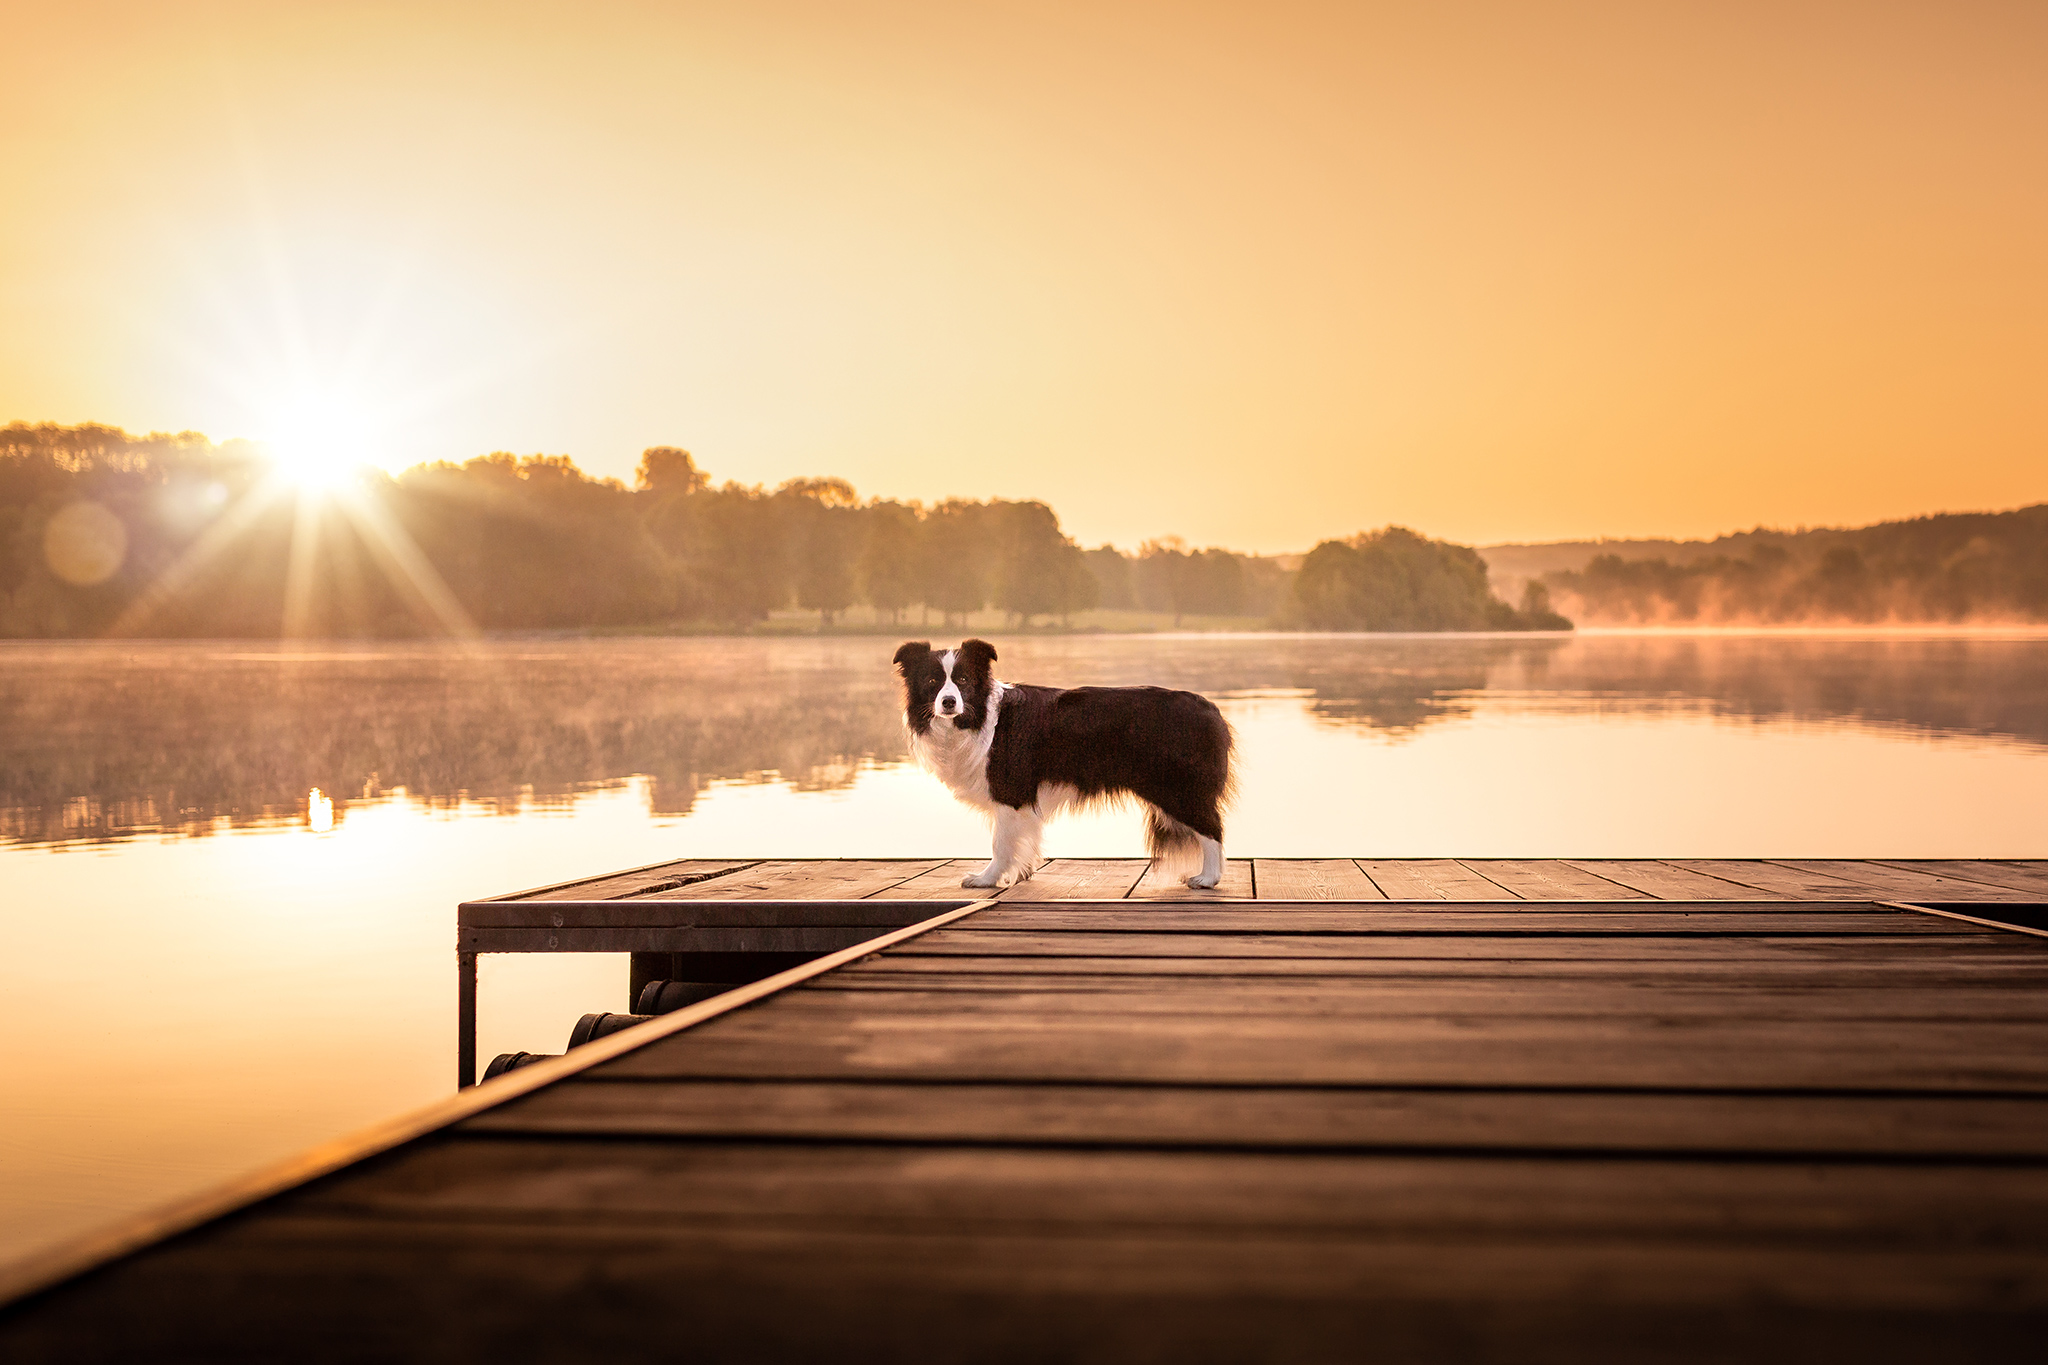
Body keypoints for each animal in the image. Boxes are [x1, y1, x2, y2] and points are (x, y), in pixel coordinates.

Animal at [888, 642, 1220, 892]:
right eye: (932, 682)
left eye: (964, 681)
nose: (948, 702)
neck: (980, 716)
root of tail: (1207, 707)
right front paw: (1022, 872)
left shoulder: (1009, 790)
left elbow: (1000, 843)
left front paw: (986, 879)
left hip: (1177, 787)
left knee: (1212, 828)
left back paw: (1208, 878)